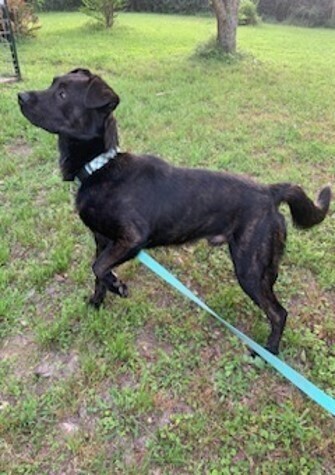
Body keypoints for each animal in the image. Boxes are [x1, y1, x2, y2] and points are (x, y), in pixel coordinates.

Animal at [17, 69, 330, 356]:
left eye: (62, 94)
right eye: (53, 83)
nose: (20, 95)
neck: (100, 167)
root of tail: (270, 191)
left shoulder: (132, 238)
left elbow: (99, 267)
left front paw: (118, 286)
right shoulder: (101, 240)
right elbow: (97, 274)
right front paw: (97, 302)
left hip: (249, 268)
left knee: (279, 312)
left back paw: (269, 352)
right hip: (264, 267)